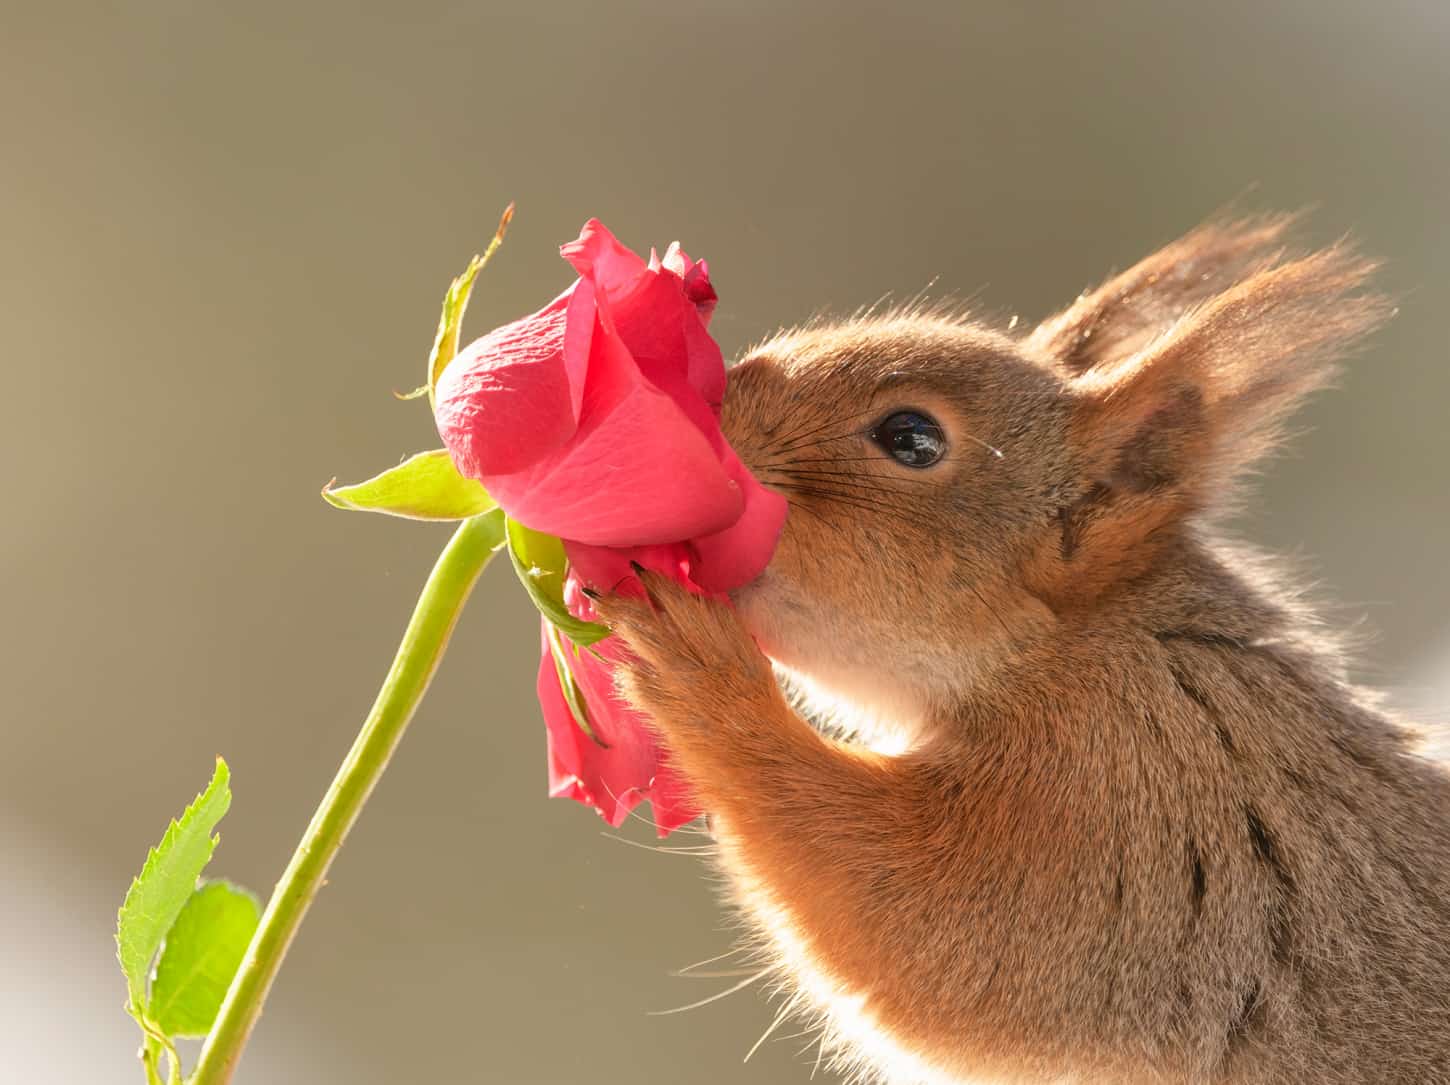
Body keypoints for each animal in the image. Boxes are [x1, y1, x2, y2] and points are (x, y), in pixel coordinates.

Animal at [591, 214, 1450, 1085]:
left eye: (911, 437)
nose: (697, 427)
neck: (1085, 640)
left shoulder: (1133, 804)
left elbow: (928, 923)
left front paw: (701, 665)